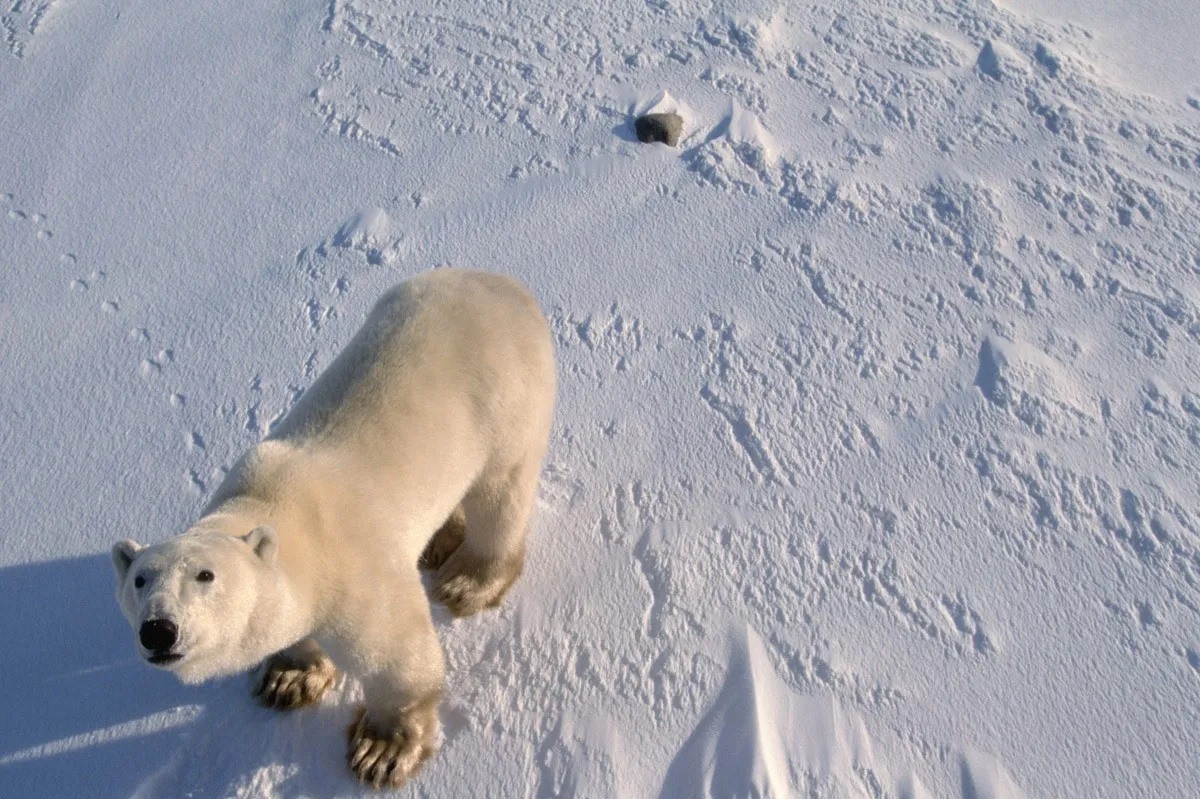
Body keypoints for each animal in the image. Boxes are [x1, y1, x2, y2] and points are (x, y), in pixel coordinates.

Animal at [110, 267, 554, 782]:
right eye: (140, 580)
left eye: (206, 575)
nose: (159, 630)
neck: (283, 512)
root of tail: (501, 282)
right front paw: (287, 679)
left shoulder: (359, 573)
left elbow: (397, 655)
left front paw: (381, 751)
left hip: (507, 401)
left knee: (500, 494)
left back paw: (466, 581)